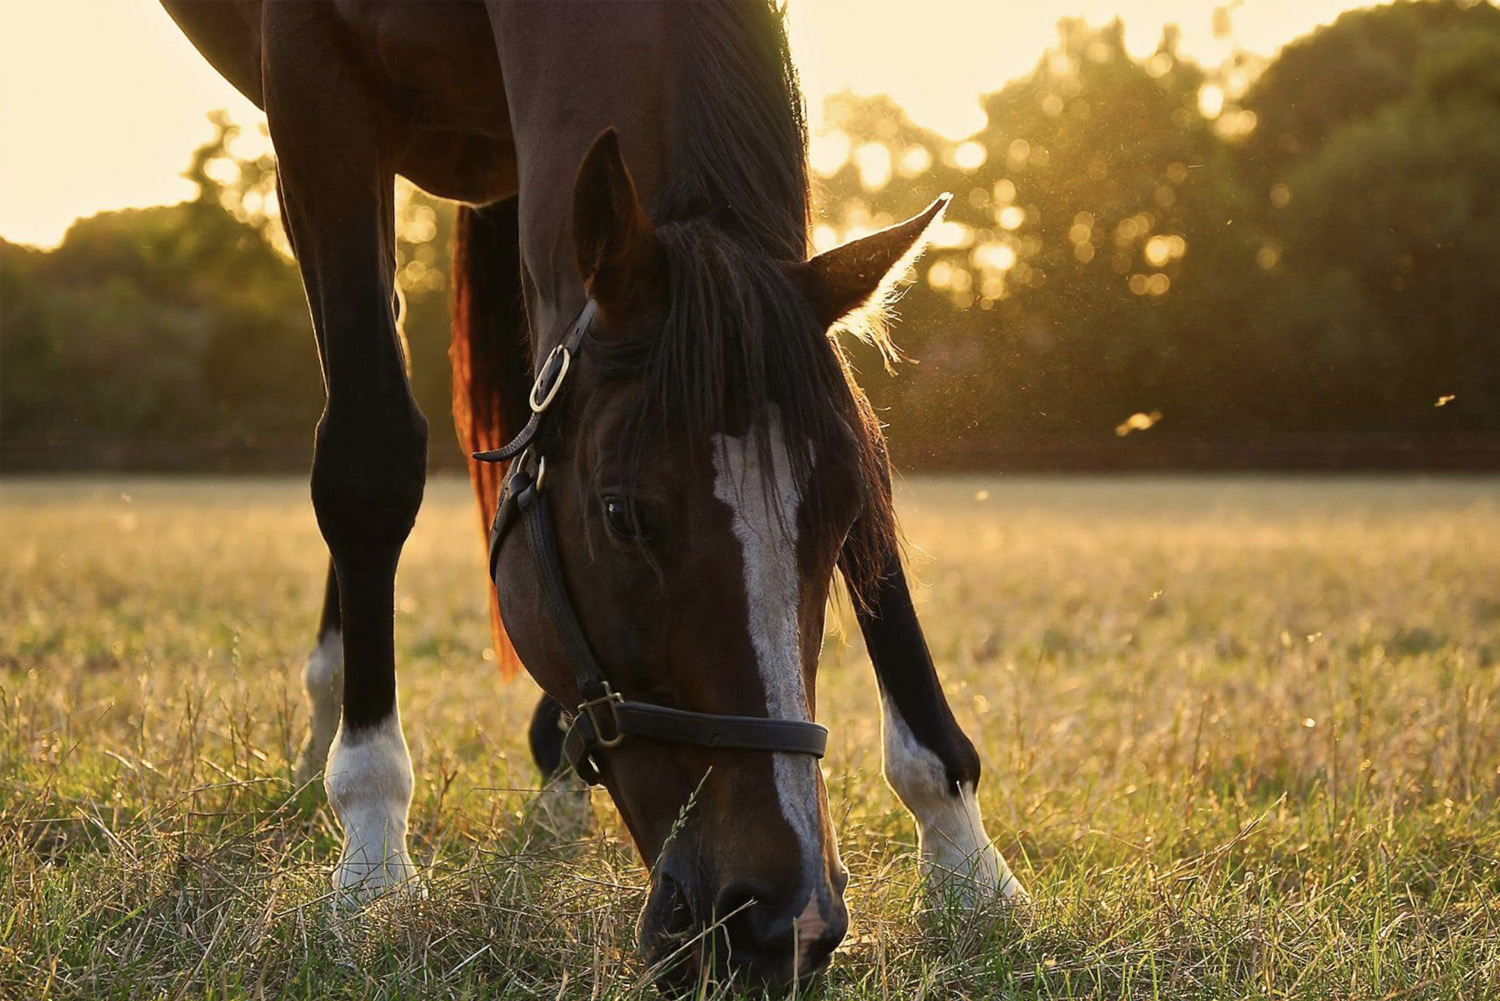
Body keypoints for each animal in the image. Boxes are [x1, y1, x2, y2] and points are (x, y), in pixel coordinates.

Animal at [167, 0, 1032, 984]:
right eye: (624, 515)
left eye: (843, 514)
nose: (785, 920)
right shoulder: (317, 98)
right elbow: (369, 450)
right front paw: (375, 853)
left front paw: (966, 857)